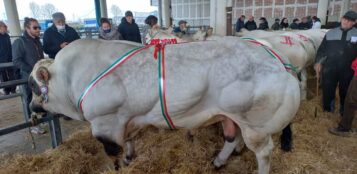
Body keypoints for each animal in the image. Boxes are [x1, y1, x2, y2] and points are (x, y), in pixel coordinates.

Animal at [29, 38, 298, 174]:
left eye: (33, 85)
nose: (32, 108)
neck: (71, 77)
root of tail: (278, 59)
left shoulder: (104, 122)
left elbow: (112, 151)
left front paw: (118, 165)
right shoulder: (126, 118)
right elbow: (129, 141)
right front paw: (129, 158)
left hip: (256, 123)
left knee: (263, 152)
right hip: (232, 116)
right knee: (232, 139)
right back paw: (219, 161)